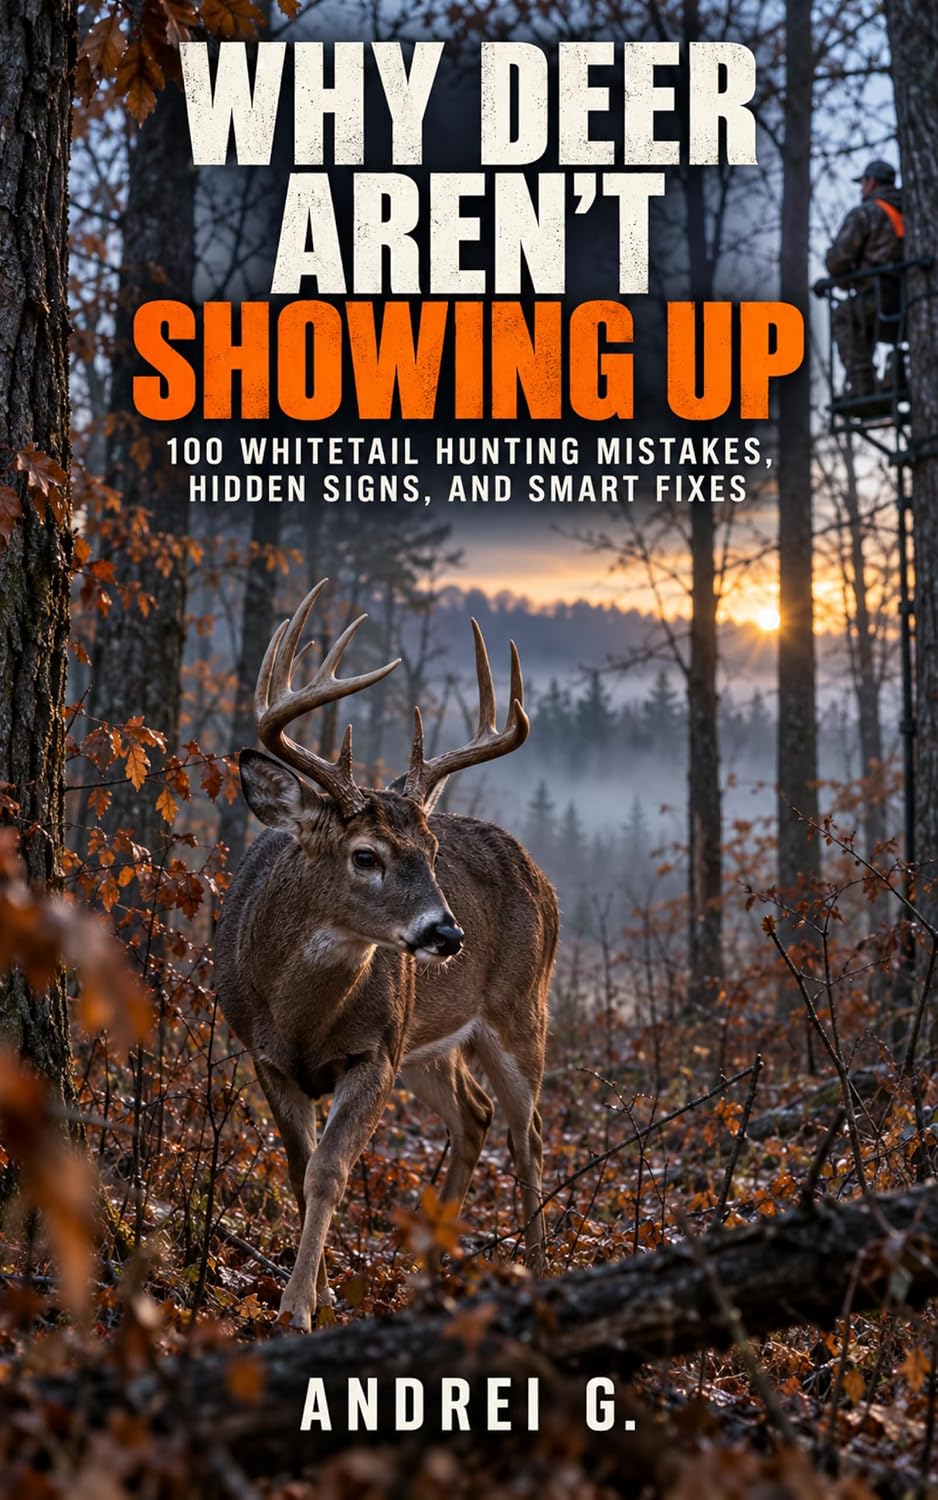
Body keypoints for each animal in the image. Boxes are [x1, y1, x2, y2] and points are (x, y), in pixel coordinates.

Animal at [214, 579, 558, 1331]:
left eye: (431, 852)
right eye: (364, 855)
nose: (447, 935)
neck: (303, 1017)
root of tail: (541, 878)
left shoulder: (375, 1052)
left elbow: (328, 1171)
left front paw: (297, 1308)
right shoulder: (264, 1055)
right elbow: (297, 1166)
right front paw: (318, 1290)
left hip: (519, 1010)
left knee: (530, 1137)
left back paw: (541, 1272)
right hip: (427, 1045)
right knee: (474, 1116)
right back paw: (426, 1276)